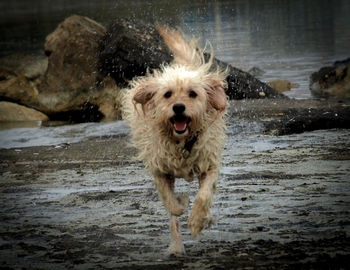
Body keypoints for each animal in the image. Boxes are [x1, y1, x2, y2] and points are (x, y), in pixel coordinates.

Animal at [122, 25, 227, 255]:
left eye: (193, 93)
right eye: (168, 94)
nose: (179, 107)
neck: (181, 141)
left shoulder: (208, 165)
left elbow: (204, 195)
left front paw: (197, 220)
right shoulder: (161, 171)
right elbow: (171, 205)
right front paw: (182, 202)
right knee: (172, 218)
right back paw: (177, 247)